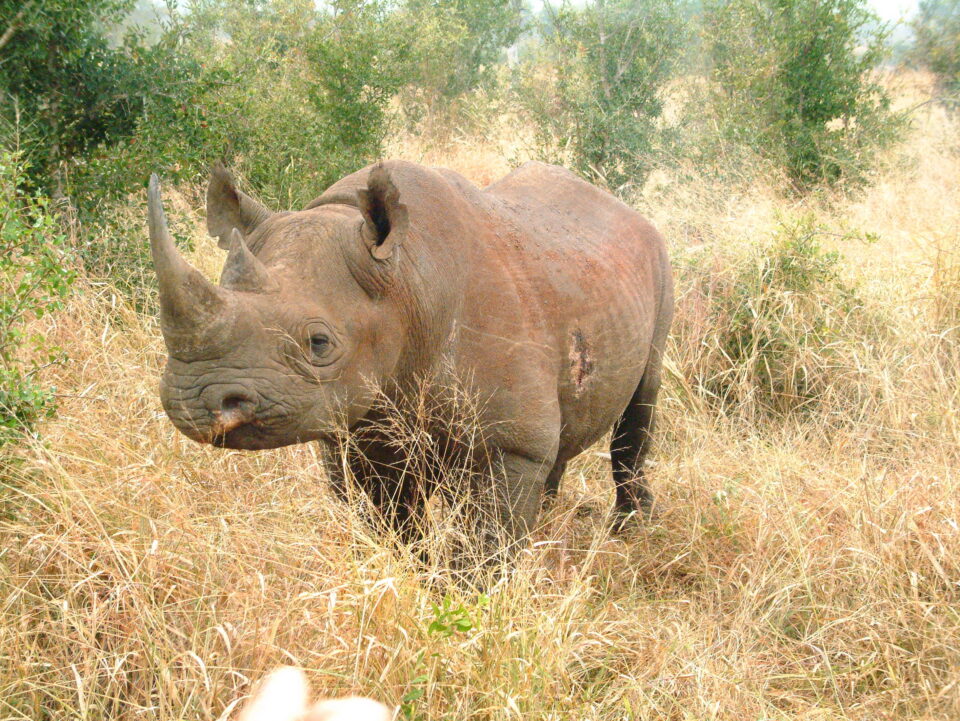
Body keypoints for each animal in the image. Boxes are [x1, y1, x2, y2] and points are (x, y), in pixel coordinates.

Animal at [147, 160, 673, 551]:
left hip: (658, 265)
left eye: (319, 343)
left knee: (640, 408)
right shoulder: (363, 435)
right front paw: (412, 576)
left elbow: (485, 546)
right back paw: (547, 521)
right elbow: (393, 528)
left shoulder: (508, 444)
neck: (405, 281)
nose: (193, 401)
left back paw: (629, 532)